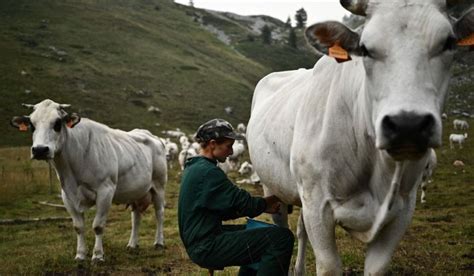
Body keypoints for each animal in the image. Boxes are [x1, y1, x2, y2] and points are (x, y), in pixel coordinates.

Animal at [9, 99, 168, 260]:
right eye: (31, 125)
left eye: (57, 123)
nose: (40, 150)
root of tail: (151, 135)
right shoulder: (67, 196)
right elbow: (78, 227)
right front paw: (80, 255)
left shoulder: (106, 191)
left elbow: (98, 226)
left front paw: (97, 255)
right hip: (136, 191)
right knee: (136, 216)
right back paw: (132, 244)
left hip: (159, 185)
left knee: (159, 213)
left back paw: (159, 242)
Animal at [246, 1, 472, 274]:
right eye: (364, 49)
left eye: (449, 42)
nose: (408, 125)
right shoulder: (317, 205)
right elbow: (328, 265)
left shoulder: (402, 211)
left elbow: (376, 267)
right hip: (275, 189)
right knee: (285, 229)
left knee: (300, 231)